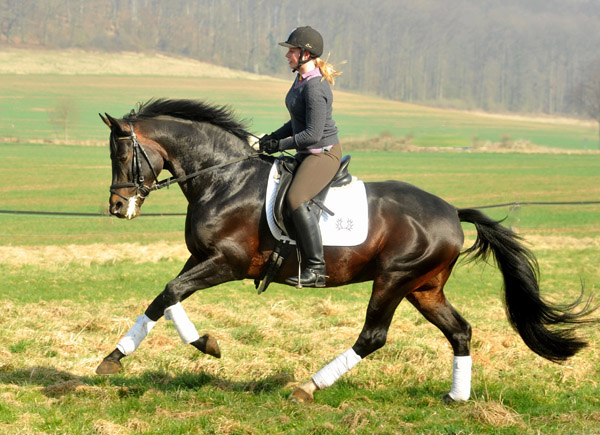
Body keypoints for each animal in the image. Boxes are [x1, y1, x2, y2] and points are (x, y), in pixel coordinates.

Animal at [97, 98, 596, 402]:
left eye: (121, 156)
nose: (118, 207)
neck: (225, 178)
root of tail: (452, 212)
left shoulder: (227, 263)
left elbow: (171, 293)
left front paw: (204, 345)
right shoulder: (201, 258)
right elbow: (163, 299)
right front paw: (116, 357)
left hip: (393, 279)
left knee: (373, 336)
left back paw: (308, 387)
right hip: (424, 287)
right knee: (460, 331)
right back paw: (457, 397)